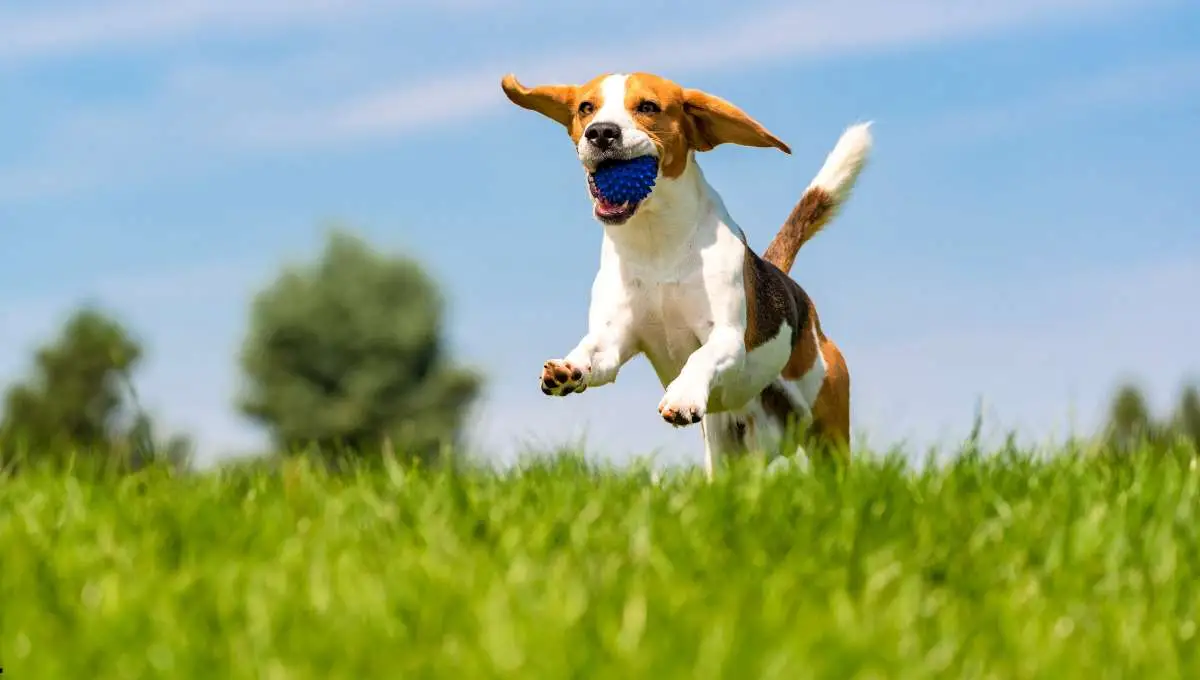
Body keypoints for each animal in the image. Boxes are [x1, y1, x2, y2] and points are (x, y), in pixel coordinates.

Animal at [499, 69, 873, 472]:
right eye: (586, 107)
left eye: (648, 107)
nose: (601, 132)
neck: (655, 242)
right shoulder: (613, 340)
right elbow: (593, 352)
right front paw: (567, 369)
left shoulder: (726, 338)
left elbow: (701, 356)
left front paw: (681, 397)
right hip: (727, 449)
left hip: (828, 431)